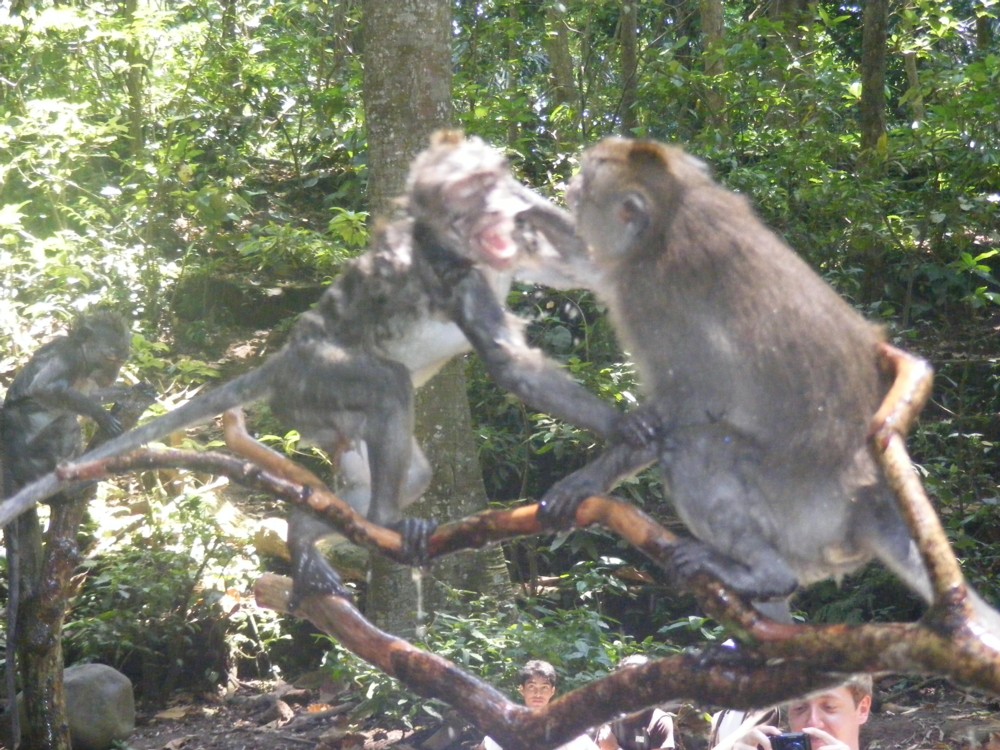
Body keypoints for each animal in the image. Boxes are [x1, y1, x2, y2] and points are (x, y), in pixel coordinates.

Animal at [0, 132, 620, 604]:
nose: (496, 213)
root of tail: (286, 359)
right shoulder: (451, 265)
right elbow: (510, 366)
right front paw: (631, 431)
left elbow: (586, 270)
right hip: (315, 383)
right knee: (387, 385)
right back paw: (377, 520)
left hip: (323, 417)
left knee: (400, 470)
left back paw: (309, 532)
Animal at [539, 137, 1000, 629]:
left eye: (587, 182)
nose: (570, 186)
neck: (675, 212)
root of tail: (871, 502)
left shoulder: (649, 297)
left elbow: (692, 401)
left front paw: (589, 478)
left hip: (807, 518)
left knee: (697, 446)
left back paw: (764, 574)